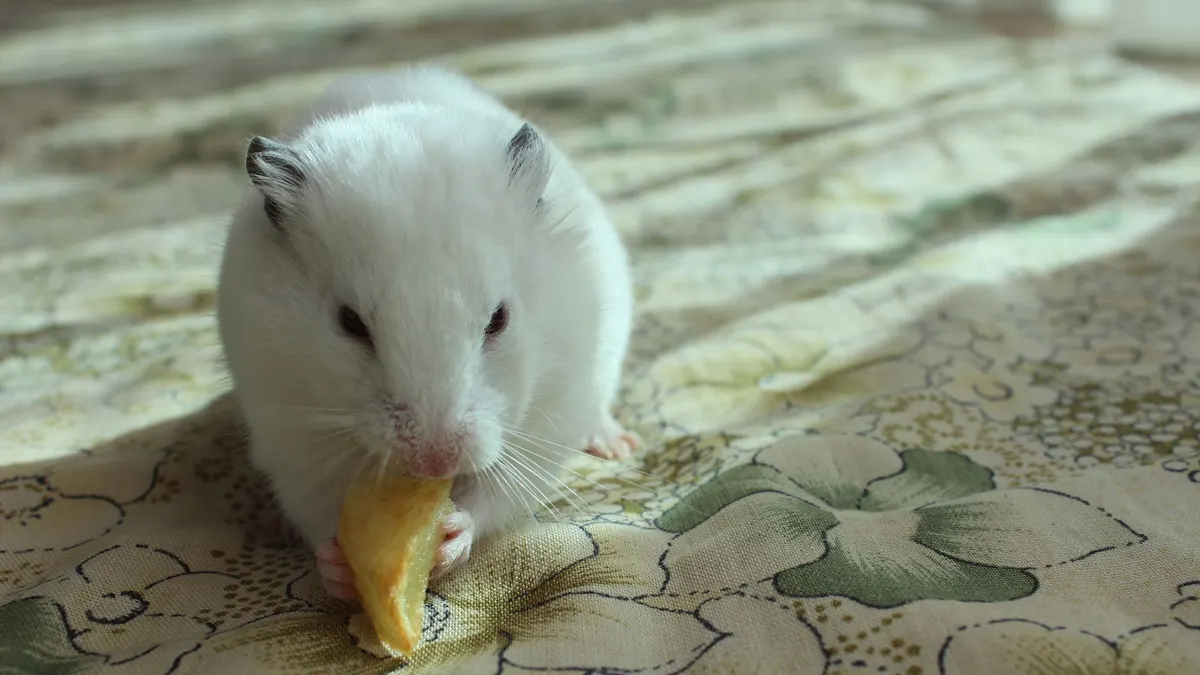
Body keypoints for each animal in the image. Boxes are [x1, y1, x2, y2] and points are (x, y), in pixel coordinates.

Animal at [215, 64, 637, 600]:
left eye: (499, 318)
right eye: (350, 323)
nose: (435, 463)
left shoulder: (548, 422)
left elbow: (497, 495)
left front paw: (451, 536)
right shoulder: (289, 435)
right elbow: (318, 510)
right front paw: (338, 566)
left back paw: (616, 443)